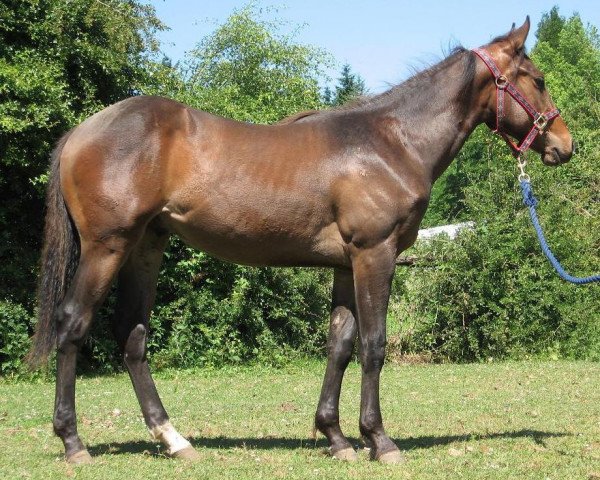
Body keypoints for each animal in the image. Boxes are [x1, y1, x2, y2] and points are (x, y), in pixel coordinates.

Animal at [27, 18, 572, 464]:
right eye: (538, 79)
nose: (565, 145)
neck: (392, 142)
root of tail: (81, 132)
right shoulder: (375, 255)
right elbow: (374, 344)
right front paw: (379, 440)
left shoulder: (346, 263)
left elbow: (340, 344)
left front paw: (336, 437)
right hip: (108, 246)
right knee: (73, 323)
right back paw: (74, 442)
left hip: (146, 247)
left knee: (132, 335)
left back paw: (175, 440)